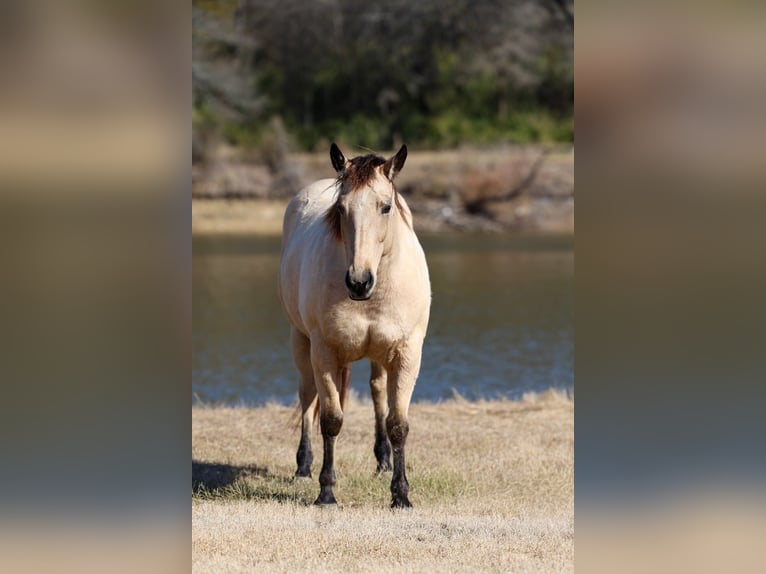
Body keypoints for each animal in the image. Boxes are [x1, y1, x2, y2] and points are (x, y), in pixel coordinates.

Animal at [277, 143, 431, 508]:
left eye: (386, 206)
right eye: (341, 208)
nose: (359, 282)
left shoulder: (407, 354)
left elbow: (398, 423)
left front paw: (401, 495)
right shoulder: (324, 353)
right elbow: (331, 420)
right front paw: (326, 491)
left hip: (379, 356)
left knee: (377, 391)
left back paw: (383, 460)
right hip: (301, 342)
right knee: (307, 397)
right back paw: (303, 467)